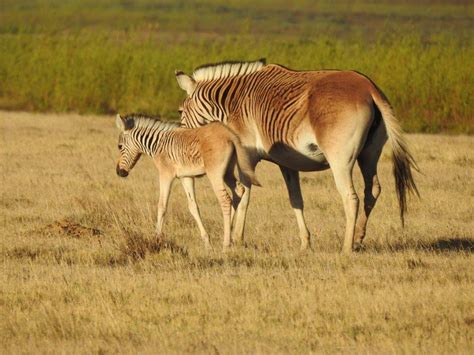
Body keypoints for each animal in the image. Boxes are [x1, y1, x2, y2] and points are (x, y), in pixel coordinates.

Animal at [115, 113, 260, 250]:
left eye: (120, 146)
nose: (119, 172)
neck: (158, 144)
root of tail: (229, 134)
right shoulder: (186, 177)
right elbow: (193, 207)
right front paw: (207, 243)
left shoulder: (166, 174)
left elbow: (162, 205)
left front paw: (156, 239)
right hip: (228, 172)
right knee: (239, 191)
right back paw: (228, 232)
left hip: (215, 174)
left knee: (225, 200)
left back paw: (226, 244)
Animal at [174, 59, 418, 253]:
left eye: (180, 111)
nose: (182, 140)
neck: (235, 103)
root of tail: (368, 87)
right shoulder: (287, 163)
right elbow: (296, 200)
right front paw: (305, 243)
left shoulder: (247, 156)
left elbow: (243, 196)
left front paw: (236, 238)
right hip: (369, 155)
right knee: (372, 191)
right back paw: (358, 238)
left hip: (340, 159)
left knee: (351, 197)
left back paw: (346, 248)